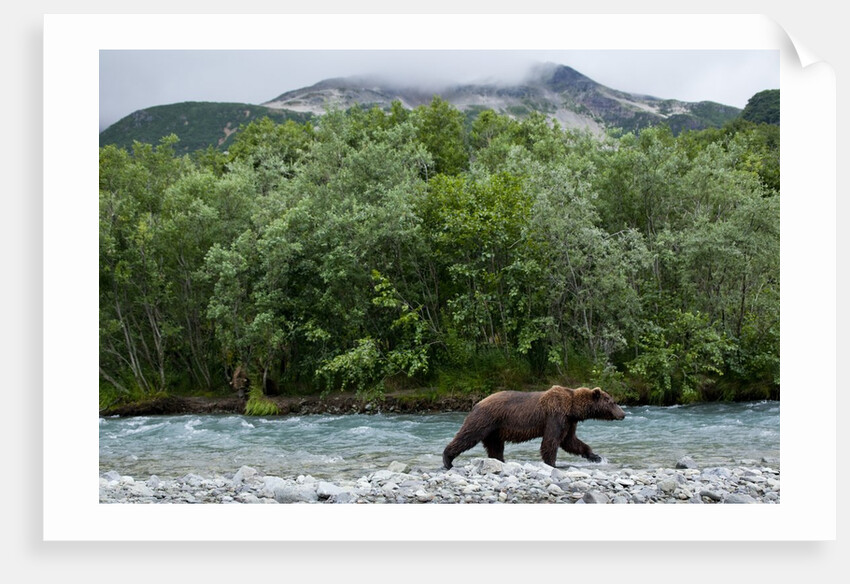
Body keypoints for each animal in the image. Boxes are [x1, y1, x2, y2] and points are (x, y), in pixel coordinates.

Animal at [442, 385, 625, 469]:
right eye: (612, 401)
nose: (623, 414)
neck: (573, 408)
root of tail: (477, 403)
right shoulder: (555, 415)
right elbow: (551, 441)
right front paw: (553, 464)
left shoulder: (569, 421)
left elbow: (570, 441)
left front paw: (595, 456)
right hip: (485, 419)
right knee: (467, 436)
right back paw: (447, 459)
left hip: (495, 430)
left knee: (495, 447)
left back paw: (500, 461)